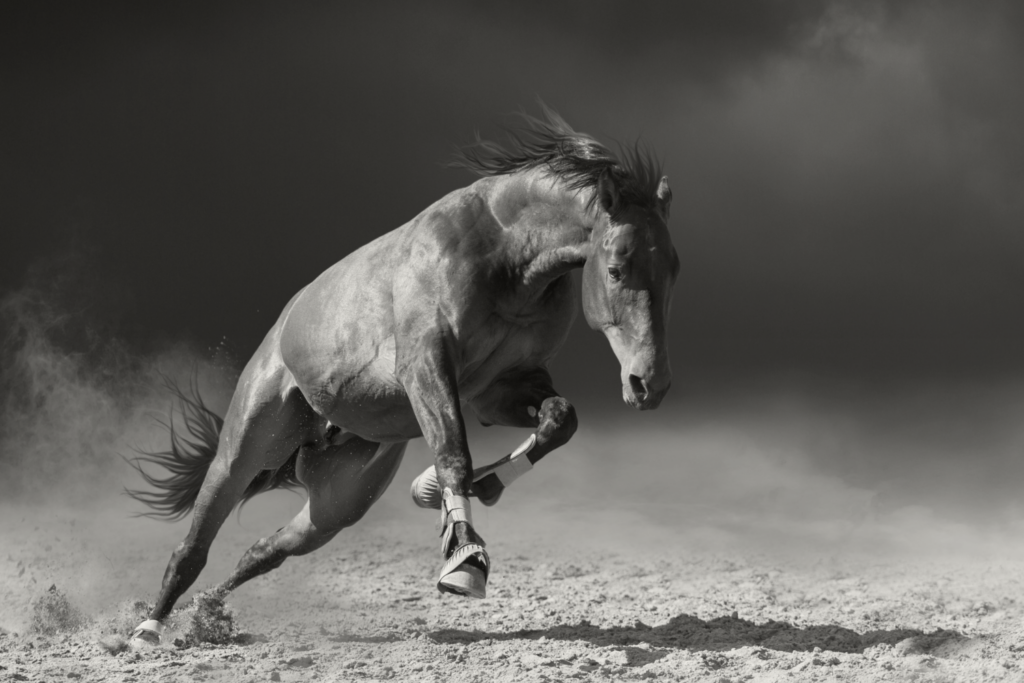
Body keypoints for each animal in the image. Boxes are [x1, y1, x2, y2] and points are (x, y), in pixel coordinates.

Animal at [121, 107, 679, 647]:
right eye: (616, 269)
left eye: (673, 270)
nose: (649, 384)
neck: (507, 255)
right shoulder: (426, 366)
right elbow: (453, 455)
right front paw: (466, 559)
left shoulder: (499, 389)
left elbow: (560, 419)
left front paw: (482, 485)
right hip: (248, 444)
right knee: (193, 545)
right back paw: (147, 629)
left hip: (336, 504)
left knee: (264, 550)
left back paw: (205, 615)